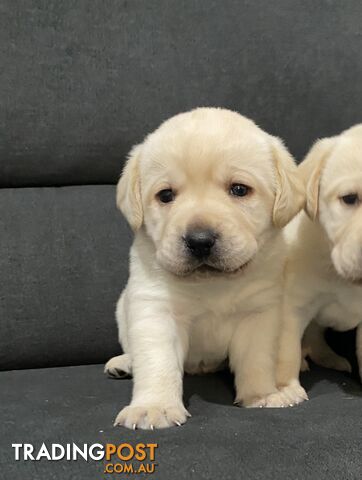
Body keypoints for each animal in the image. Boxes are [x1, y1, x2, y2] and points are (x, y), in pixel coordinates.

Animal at [106, 107, 304, 430]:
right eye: (165, 195)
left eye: (239, 189)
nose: (200, 241)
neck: (213, 284)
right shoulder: (156, 310)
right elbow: (157, 363)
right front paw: (153, 407)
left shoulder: (259, 312)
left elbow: (257, 360)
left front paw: (262, 395)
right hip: (123, 310)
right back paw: (123, 363)